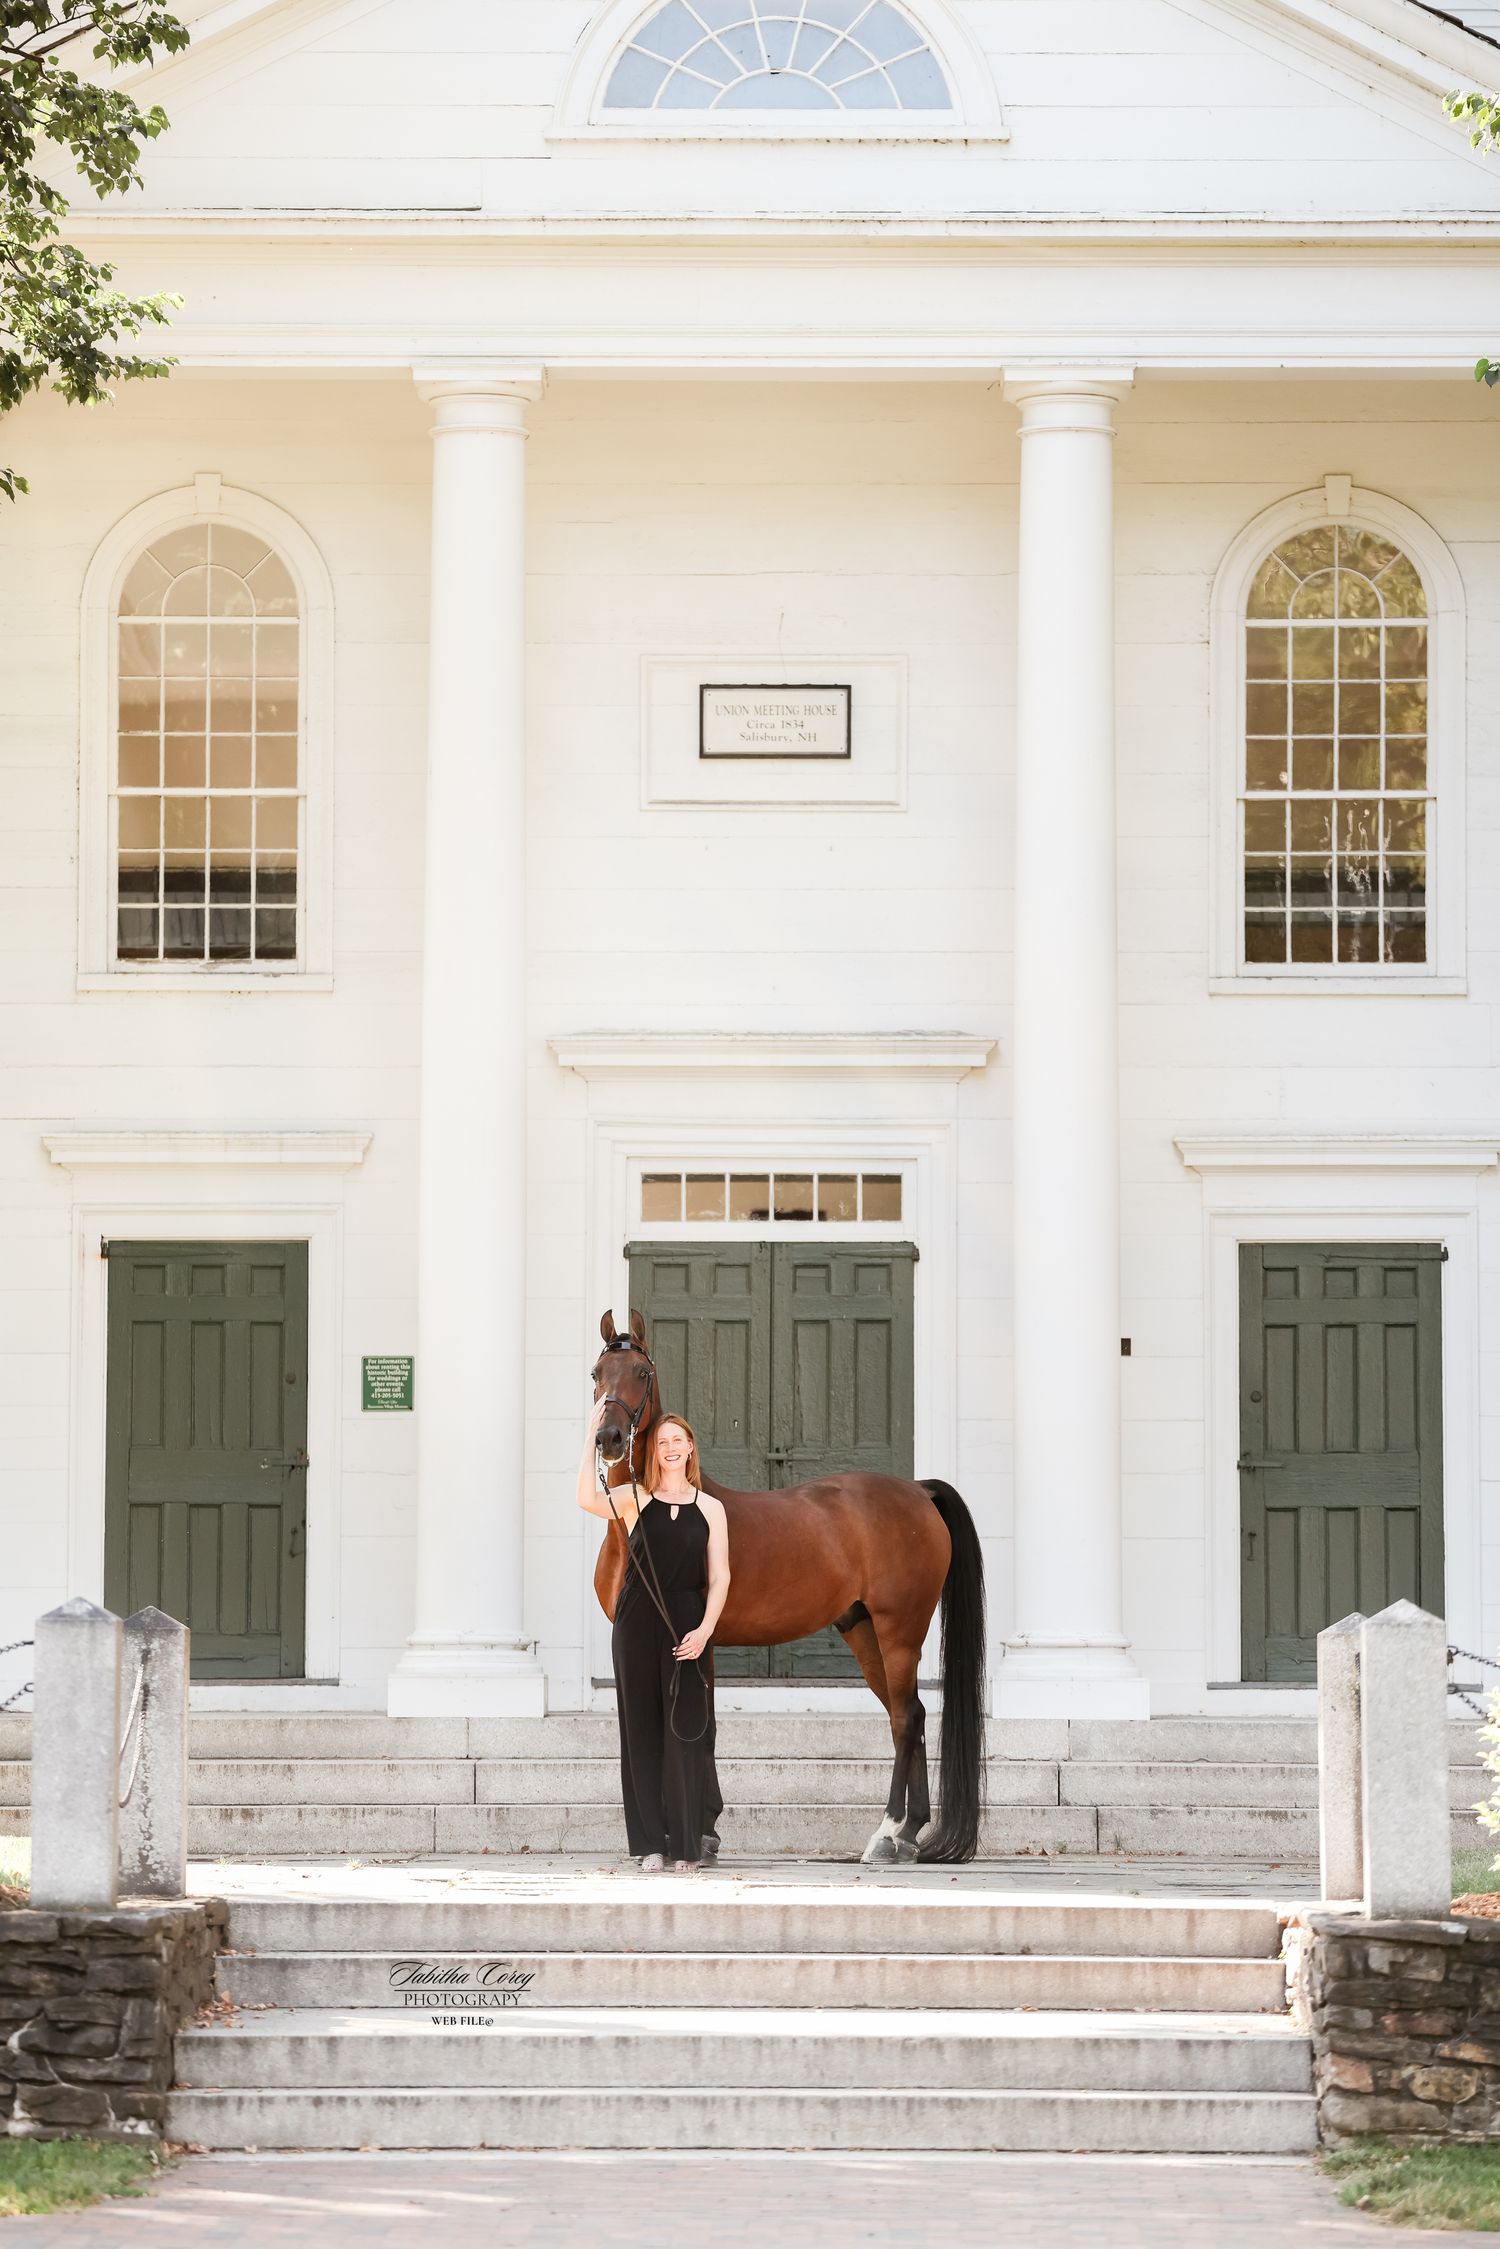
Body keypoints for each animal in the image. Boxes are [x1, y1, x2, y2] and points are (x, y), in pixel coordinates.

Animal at [589, 1309, 986, 1863]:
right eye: (596, 1373)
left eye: (642, 1373)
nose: (608, 1438)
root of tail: (917, 1491)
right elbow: (702, 1727)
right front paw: (702, 1830)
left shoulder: (698, 1640)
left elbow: (702, 1729)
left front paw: (702, 1833)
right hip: (863, 1632)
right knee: (911, 1716)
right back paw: (909, 1834)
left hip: (900, 1632)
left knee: (907, 1719)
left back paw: (886, 1834)